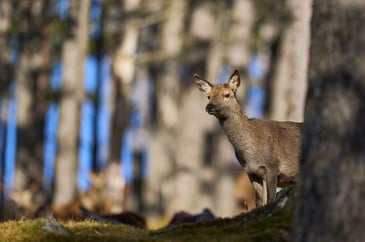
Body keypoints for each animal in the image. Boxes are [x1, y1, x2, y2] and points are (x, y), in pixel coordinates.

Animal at [195, 69, 300, 206]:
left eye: (227, 95)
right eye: (209, 96)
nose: (210, 106)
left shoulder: (272, 167)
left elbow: (270, 200)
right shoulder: (251, 173)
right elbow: (258, 203)